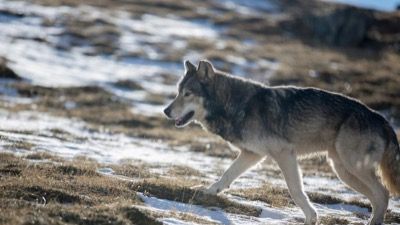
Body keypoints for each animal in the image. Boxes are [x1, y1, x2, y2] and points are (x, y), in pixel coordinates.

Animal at [162, 59, 400, 225]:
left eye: (187, 94)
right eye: (177, 92)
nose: (165, 111)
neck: (235, 105)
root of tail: (383, 120)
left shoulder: (284, 152)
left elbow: (295, 190)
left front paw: (311, 217)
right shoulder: (253, 154)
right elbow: (226, 175)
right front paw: (207, 192)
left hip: (352, 167)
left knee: (383, 194)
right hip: (343, 170)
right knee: (378, 198)